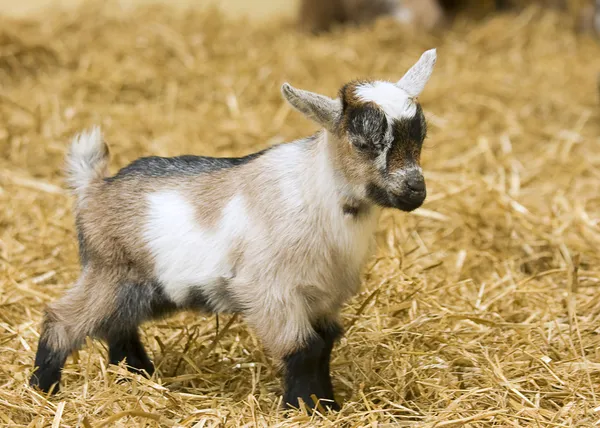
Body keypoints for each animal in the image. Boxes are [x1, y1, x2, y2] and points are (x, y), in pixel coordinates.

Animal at [30, 48, 438, 410]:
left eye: (421, 136)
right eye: (363, 143)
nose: (415, 190)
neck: (318, 192)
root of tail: (93, 187)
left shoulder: (322, 296)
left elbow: (324, 345)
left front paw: (326, 404)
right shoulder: (269, 291)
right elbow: (303, 349)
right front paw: (303, 408)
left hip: (139, 286)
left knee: (118, 327)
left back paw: (138, 377)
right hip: (108, 272)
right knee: (63, 319)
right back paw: (42, 389)